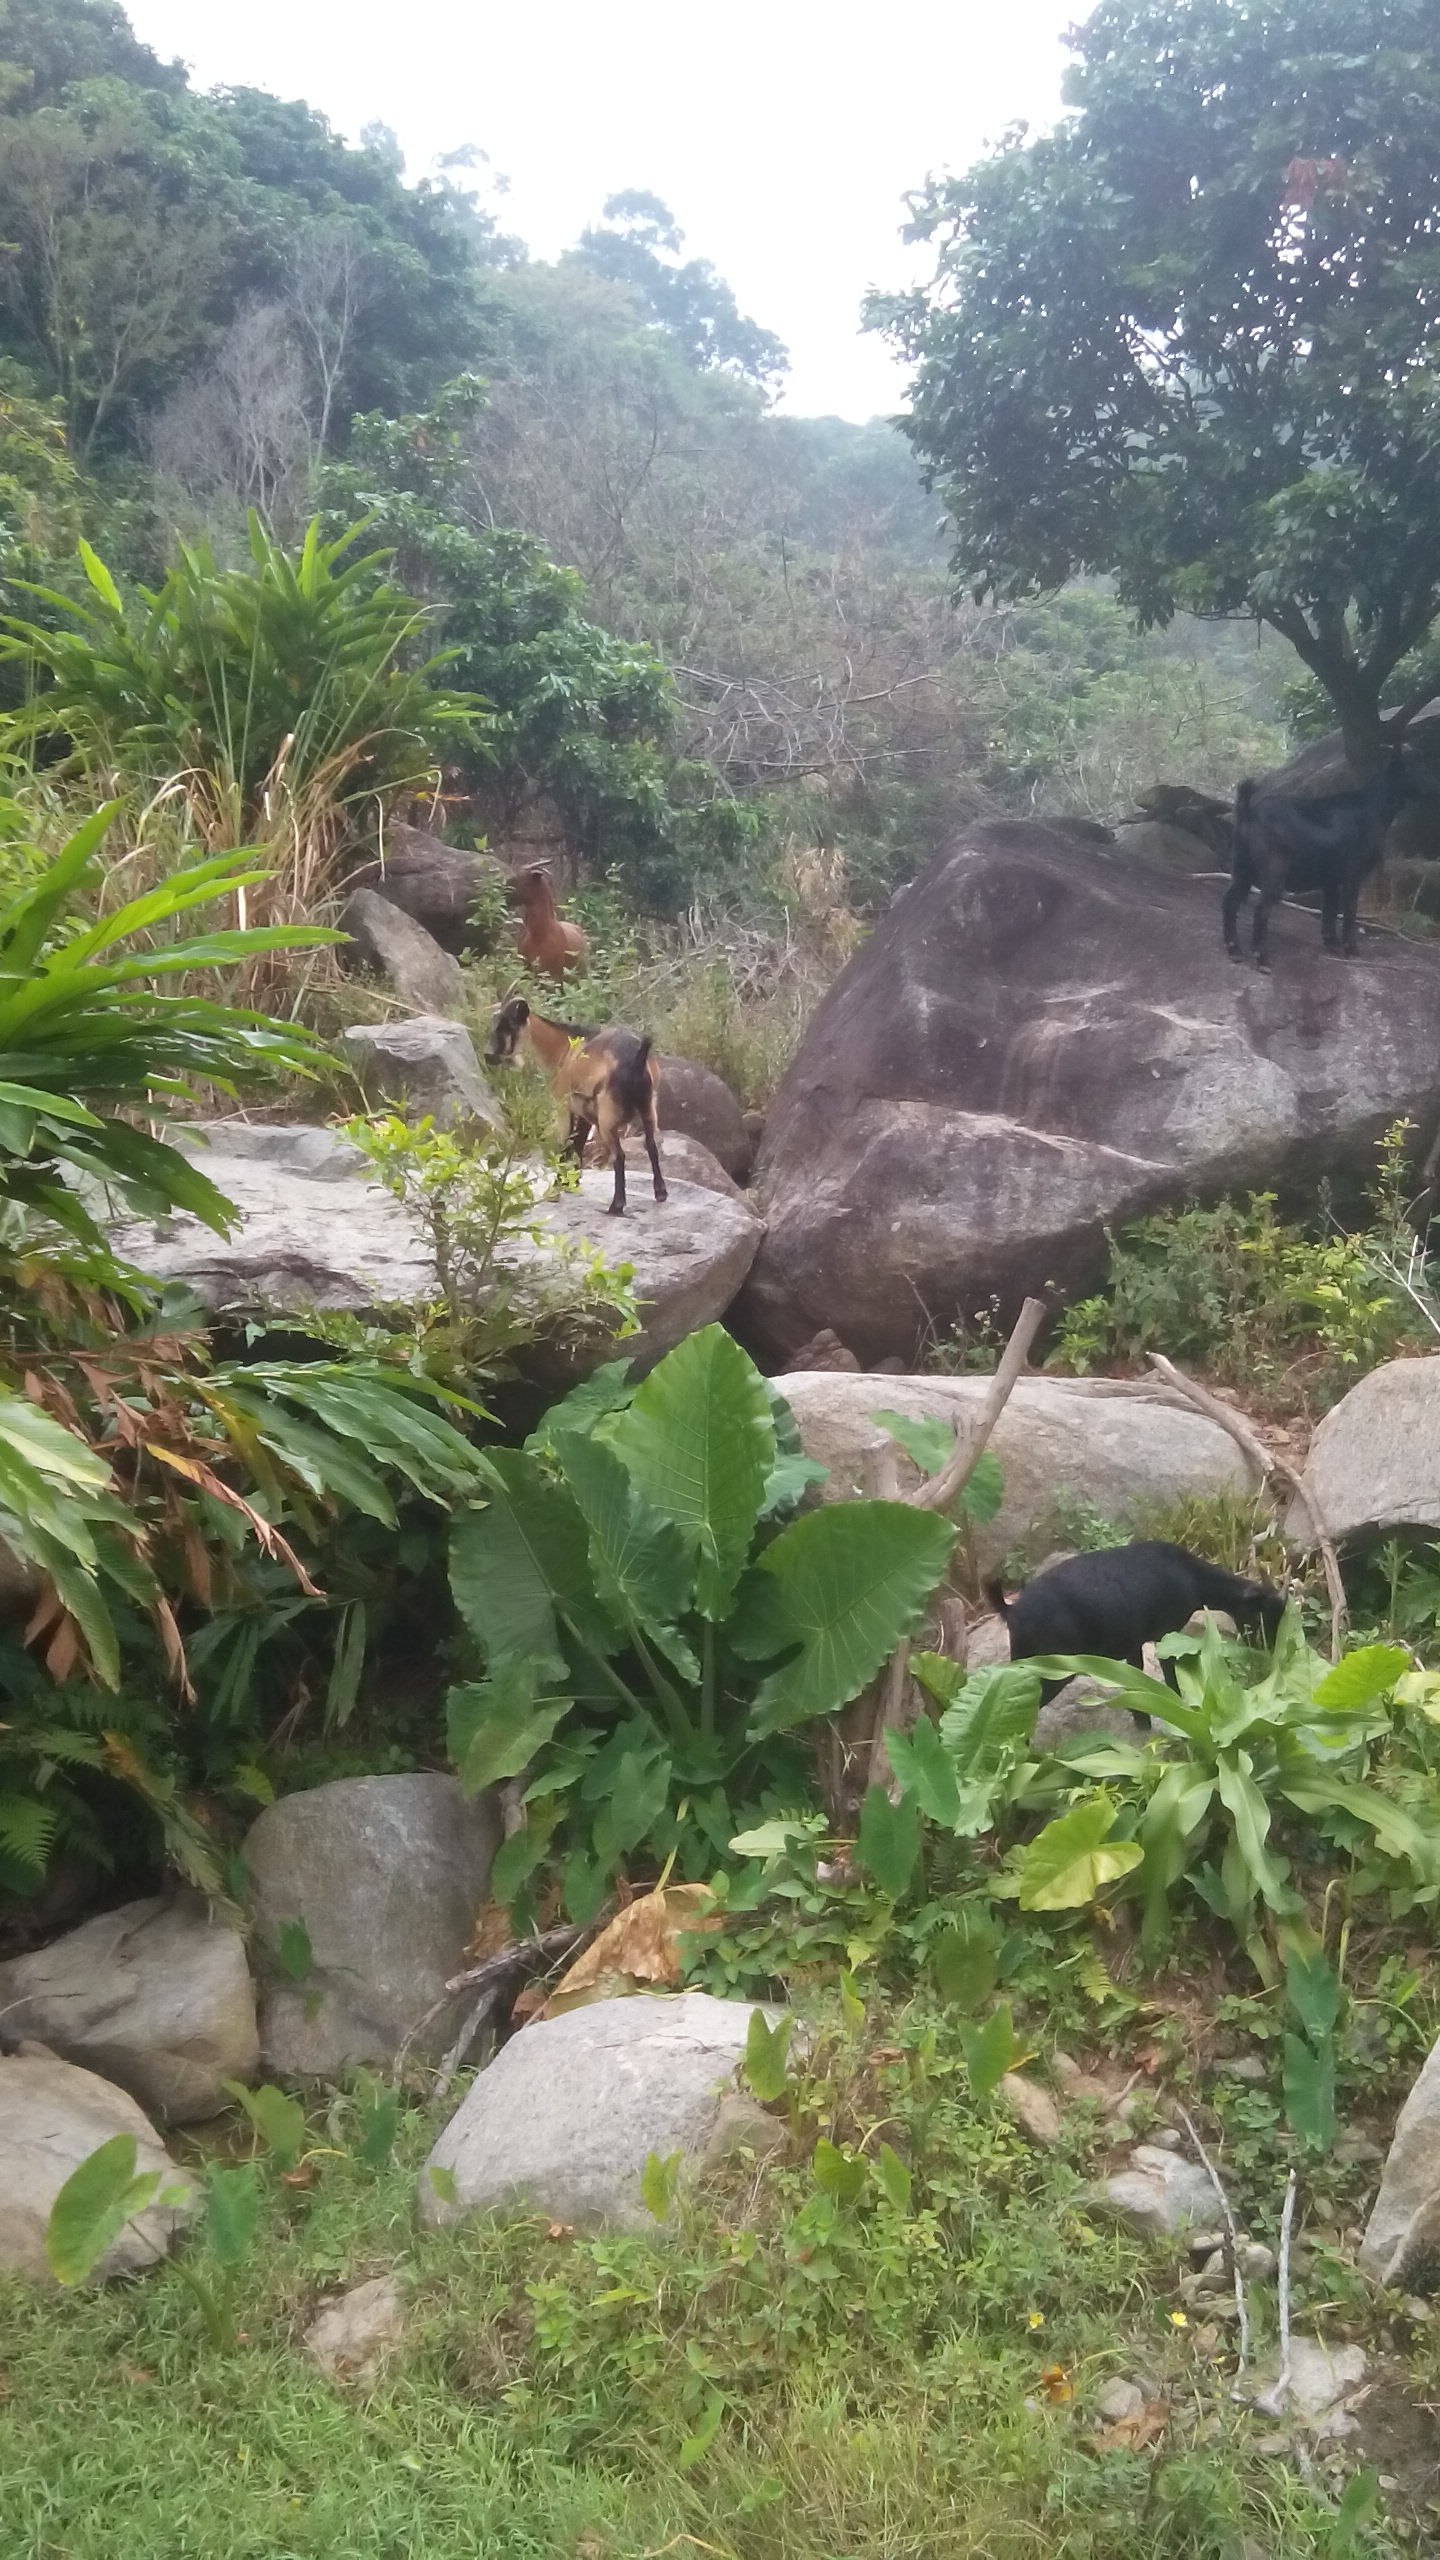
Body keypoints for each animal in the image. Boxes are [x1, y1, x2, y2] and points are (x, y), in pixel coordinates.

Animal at [485, 994, 666, 1216]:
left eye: (507, 1025)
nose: (488, 1056)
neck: (563, 1048)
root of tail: (636, 1060)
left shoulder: (563, 1106)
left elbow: (565, 1145)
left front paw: (556, 1190)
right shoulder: (584, 1111)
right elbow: (578, 1143)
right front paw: (571, 1183)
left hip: (608, 1117)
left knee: (619, 1155)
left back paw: (616, 1205)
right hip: (648, 1107)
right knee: (651, 1145)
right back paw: (660, 1193)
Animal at [985, 1540, 1285, 1713]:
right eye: (1262, 1614)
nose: (1268, 1652)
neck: (1189, 1576)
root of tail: (1011, 1610)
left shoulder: (1133, 1642)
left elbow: (1136, 1677)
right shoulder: (1165, 1635)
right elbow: (1167, 1677)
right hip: (1051, 1668)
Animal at [1222, 743, 1419, 969]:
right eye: (1418, 764)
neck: (1371, 807)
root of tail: (1248, 809)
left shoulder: (1330, 880)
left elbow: (1330, 909)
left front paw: (1331, 943)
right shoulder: (1353, 874)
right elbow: (1349, 909)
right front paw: (1351, 948)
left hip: (1242, 868)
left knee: (1230, 902)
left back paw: (1234, 949)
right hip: (1274, 871)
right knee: (1261, 909)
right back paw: (1261, 958)